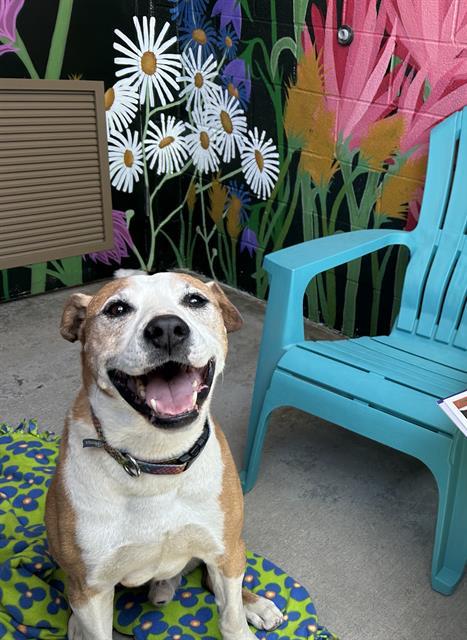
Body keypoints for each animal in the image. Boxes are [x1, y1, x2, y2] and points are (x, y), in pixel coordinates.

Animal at [45, 272, 284, 640]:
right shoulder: (91, 587)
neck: (156, 461)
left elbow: (231, 618)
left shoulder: (224, 550)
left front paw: (244, 612)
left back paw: (254, 603)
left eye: (195, 300)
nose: (168, 328)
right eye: (116, 309)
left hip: (231, 547)